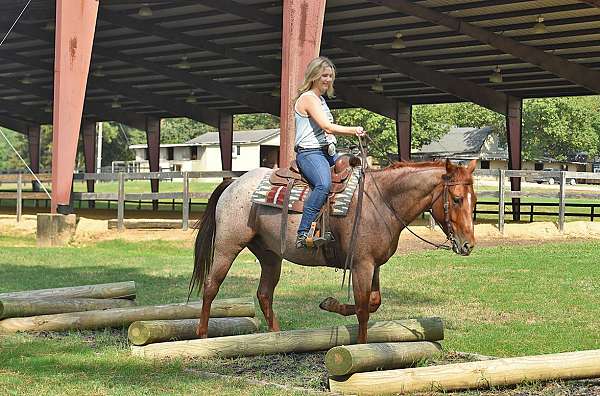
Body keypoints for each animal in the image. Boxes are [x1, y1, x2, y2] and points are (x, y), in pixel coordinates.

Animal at [190, 158, 476, 344]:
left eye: (474, 201)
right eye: (457, 199)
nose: (468, 245)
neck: (381, 201)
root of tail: (234, 183)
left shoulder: (374, 265)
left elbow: (373, 302)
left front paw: (329, 303)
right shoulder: (362, 265)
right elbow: (363, 310)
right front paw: (361, 348)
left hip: (270, 255)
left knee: (264, 294)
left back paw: (277, 335)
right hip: (227, 247)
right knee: (211, 286)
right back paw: (202, 335)